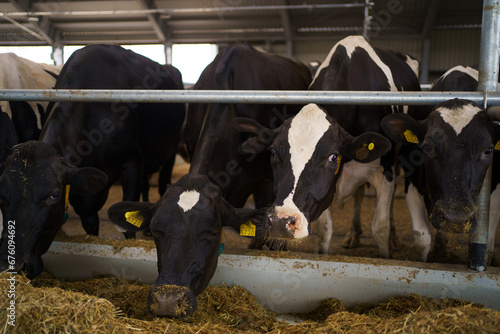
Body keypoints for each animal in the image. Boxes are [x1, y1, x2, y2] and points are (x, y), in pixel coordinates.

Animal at [0, 45, 186, 278]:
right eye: (2, 195)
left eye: (54, 195)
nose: (16, 266)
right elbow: (90, 223)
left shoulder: (133, 163)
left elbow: (126, 221)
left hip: (170, 150)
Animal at [304, 35, 422, 258]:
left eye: (330, 157)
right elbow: (324, 229)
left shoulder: (385, 169)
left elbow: (380, 228)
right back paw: (353, 234)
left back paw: (394, 238)